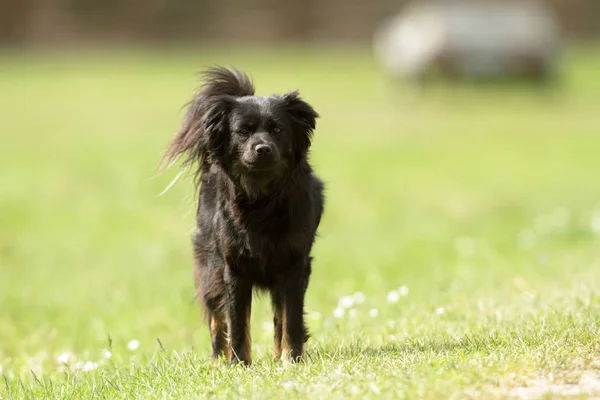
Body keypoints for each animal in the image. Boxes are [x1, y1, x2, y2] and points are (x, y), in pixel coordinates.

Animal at [162, 66, 326, 366]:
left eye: (277, 130)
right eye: (243, 131)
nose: (262, 148)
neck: (262, 198)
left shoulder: (294, 265)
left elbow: (291, 319)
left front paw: (292, 359)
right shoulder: (234, 269)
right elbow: (238, 321)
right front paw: (239, 364)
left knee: (278, 317)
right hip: (209, 268)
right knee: (216, 318)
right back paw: (218, 360)